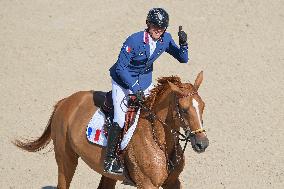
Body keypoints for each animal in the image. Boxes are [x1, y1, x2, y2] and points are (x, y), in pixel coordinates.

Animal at [13, 71, 209, 189]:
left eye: (202, 106)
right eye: (183, 109)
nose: (202, 144)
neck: (159, 139)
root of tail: (65, 101)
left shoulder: (173, 181)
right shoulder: (147, 184)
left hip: (106, 173)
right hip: (66, 159)